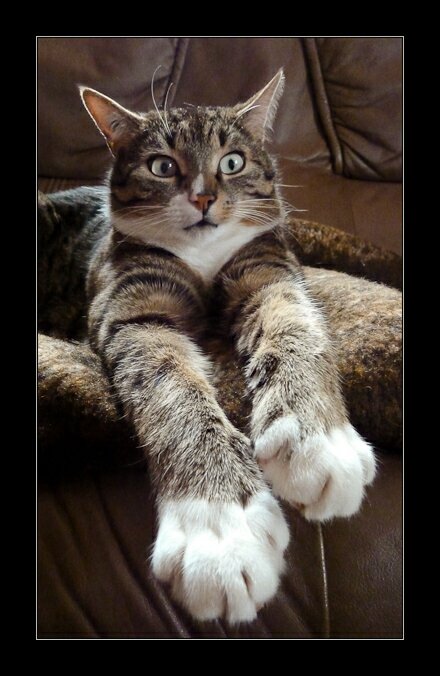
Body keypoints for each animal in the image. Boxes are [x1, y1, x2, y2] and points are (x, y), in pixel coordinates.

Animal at [52, 69, 376, 623]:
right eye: (162, 166)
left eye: (232, 162)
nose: (203, 198)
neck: (201, 259)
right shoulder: (134, 310)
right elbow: (172, 388)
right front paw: (221, 527)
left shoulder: (267, 270)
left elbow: (296, 325)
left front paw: (317, 441)